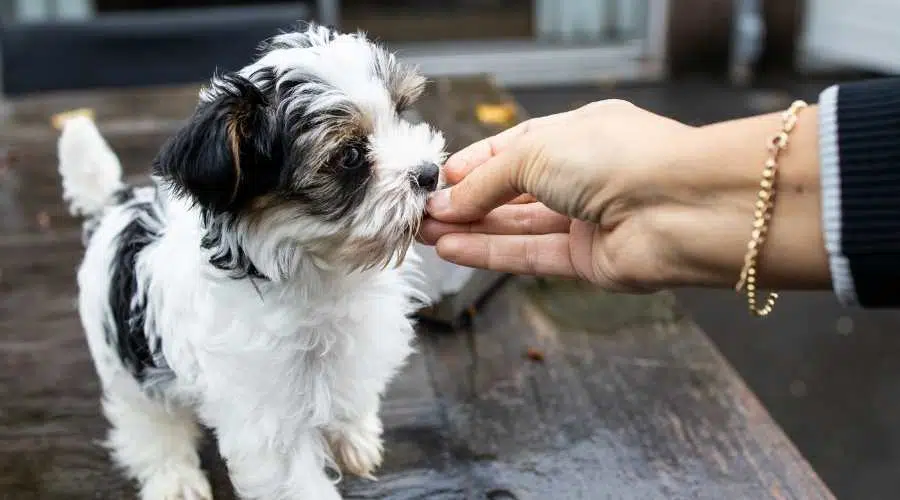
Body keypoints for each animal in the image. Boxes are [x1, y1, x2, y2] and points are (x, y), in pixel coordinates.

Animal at [54, 23, 444, 500]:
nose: (429, 173)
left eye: (400, 113)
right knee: (149, 423)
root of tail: (116, 206)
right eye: (350, 156)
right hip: (129, 364)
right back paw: (175, 478)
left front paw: (355, 434)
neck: (321, 269)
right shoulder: (267, 411)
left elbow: (352, 388)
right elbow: (295, 478)